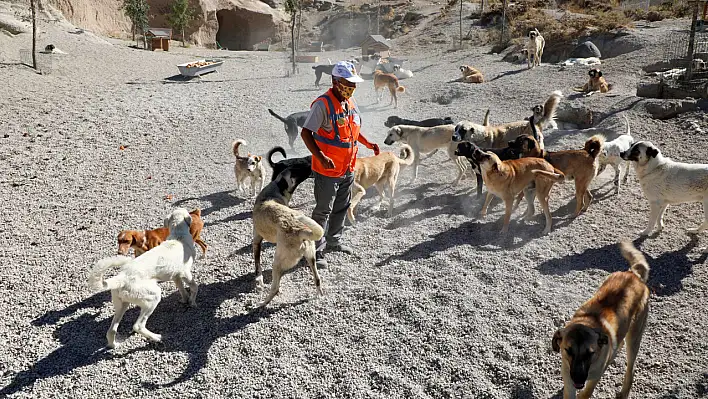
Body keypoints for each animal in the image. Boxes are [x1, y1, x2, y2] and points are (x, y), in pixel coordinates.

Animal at [90, 208, 199, 348]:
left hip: (122, 305)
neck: (178, 237)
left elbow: (182, 289)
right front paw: (192, 302)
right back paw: (156, 337)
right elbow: (195, 287)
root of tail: (121, 278)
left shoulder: (176, 276)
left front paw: (185, 300)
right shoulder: (185, 273)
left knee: (111, 331)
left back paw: (114, 345)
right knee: (138, 326)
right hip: (153, 297)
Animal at [252, 167, 324, 308]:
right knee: (317, 279)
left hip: (277, 263)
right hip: (311, 258)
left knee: (275, 288)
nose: (312, 170)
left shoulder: (256, 241)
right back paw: (319, 295)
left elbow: (257, 265)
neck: (273, 192)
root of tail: (301, 231)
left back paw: (262, 303)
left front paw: (259, 279)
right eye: (296, 171)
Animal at [552, 241, 648, 399]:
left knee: (631, 367)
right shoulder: (568, 377)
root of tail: (633, 274)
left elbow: (586, 392)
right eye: (568, 350)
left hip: (635, 336)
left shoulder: (594, 378)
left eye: (590, 353)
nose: (578, 379)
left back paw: (624, 391)